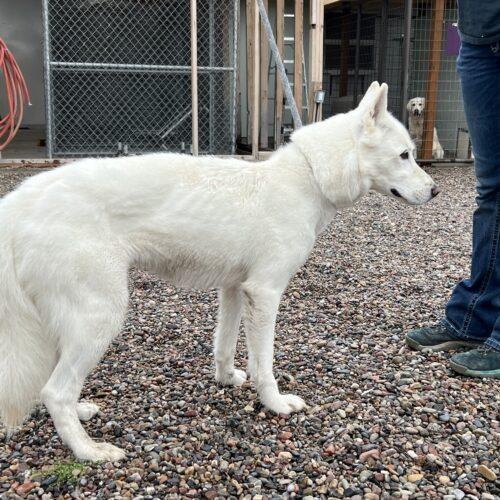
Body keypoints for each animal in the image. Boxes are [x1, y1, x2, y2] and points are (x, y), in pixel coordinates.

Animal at [0, 82, 438, 460]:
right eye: (404, 155)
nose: (435, 191)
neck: (310, 177)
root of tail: (20, 202)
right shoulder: (265, 293)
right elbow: (265, 366)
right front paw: (275, 404)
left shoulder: (235, 290)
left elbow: (224, 345)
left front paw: (227, 379)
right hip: (100, 316)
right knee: (55, 391)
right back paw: (89, 451)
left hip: (70, 324)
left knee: (53, 387)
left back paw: (81, 415)